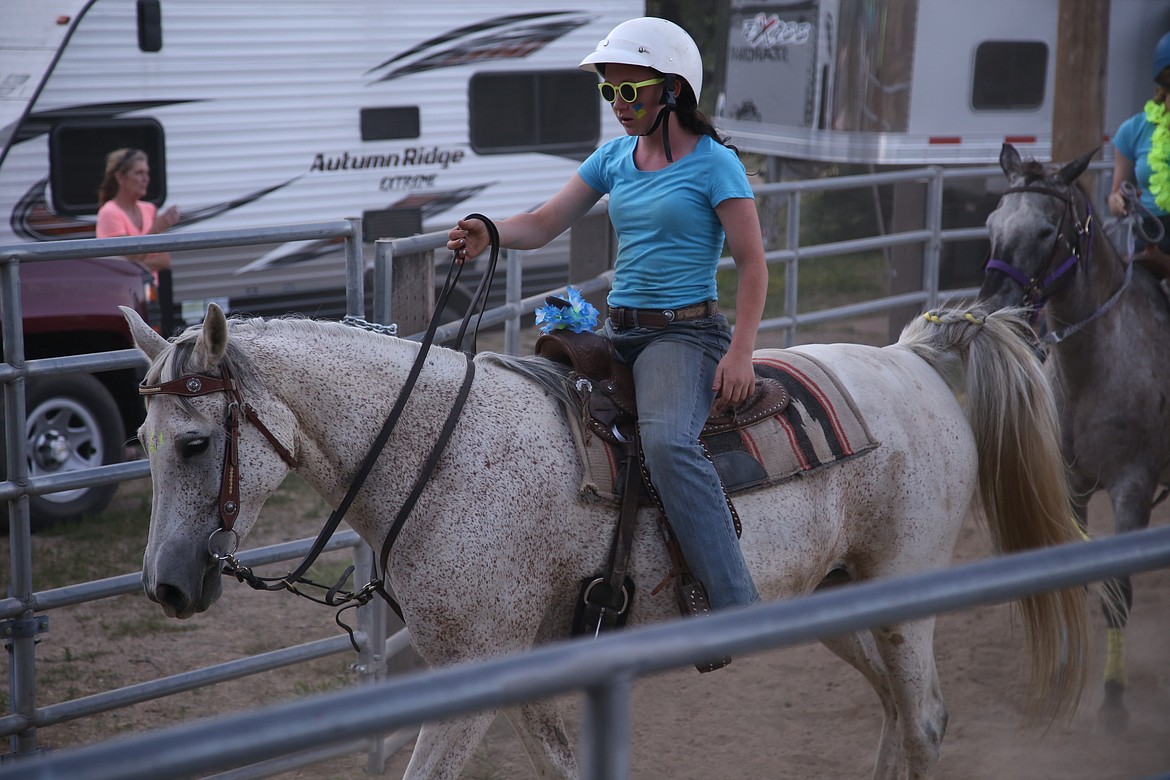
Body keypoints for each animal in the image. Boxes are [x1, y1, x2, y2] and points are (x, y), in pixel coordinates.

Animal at [121, 304, 1085, 780]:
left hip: (901, 602)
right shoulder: (519, 667)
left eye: (195, 442)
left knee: (921, 721)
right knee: (894, 713)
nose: (164, 585)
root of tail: (911, 355)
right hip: (833, 599)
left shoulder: (473, 676)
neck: (443, 454)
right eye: (140, 437)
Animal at [982, 145, 1165, 734]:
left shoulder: (1133, 487)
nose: (992, 304)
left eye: (1046, 231)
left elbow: (1119, 591)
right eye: (992, 223)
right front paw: (1067, 672)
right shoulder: (1072, 485)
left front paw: (1112, 698)